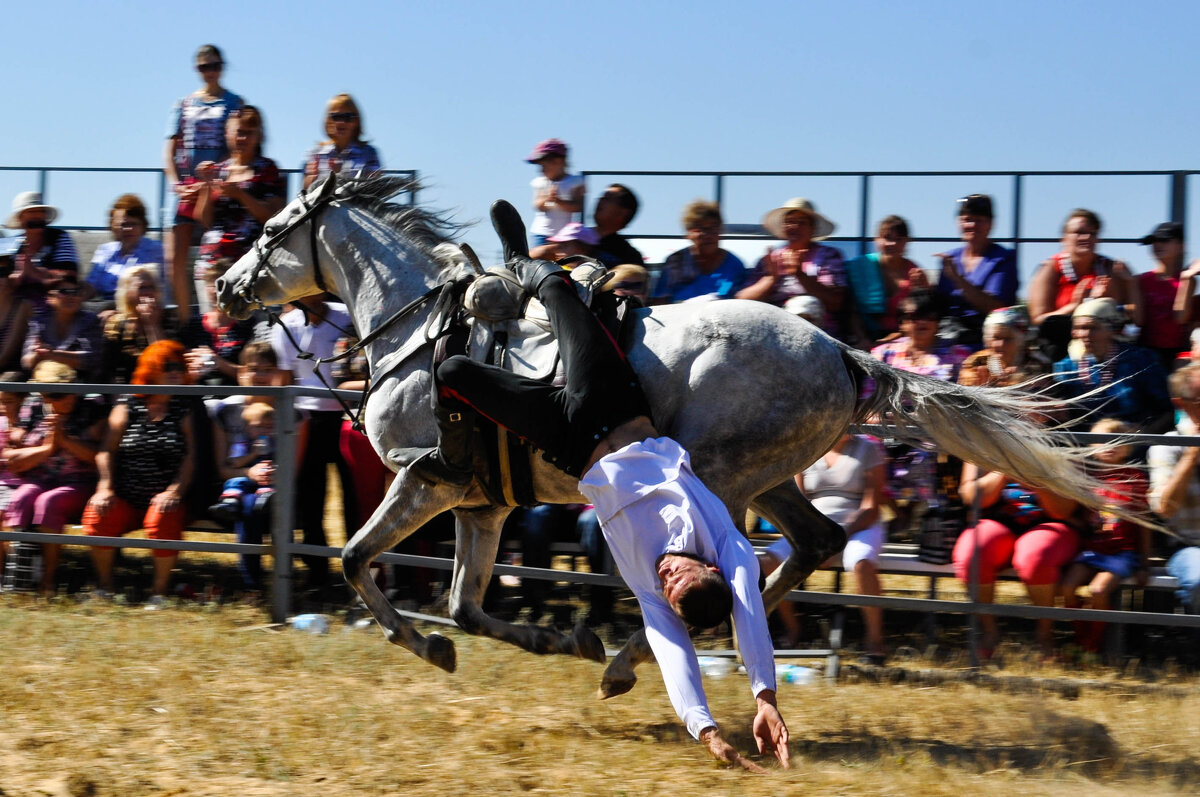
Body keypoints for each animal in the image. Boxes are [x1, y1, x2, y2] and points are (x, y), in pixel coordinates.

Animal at [216, 172, 1113, 696]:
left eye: (269, 231)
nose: (224, 287)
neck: (423, 330)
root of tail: (844, 353)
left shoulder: (426, 478)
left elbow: (355, 557)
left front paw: (432, 646)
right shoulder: (482, 503)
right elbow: (465, 604)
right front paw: (555, 634)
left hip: (724, 474)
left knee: (748, 561)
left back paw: (632, 660)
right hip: (769, 477)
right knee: (814, 544)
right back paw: (634, 657)